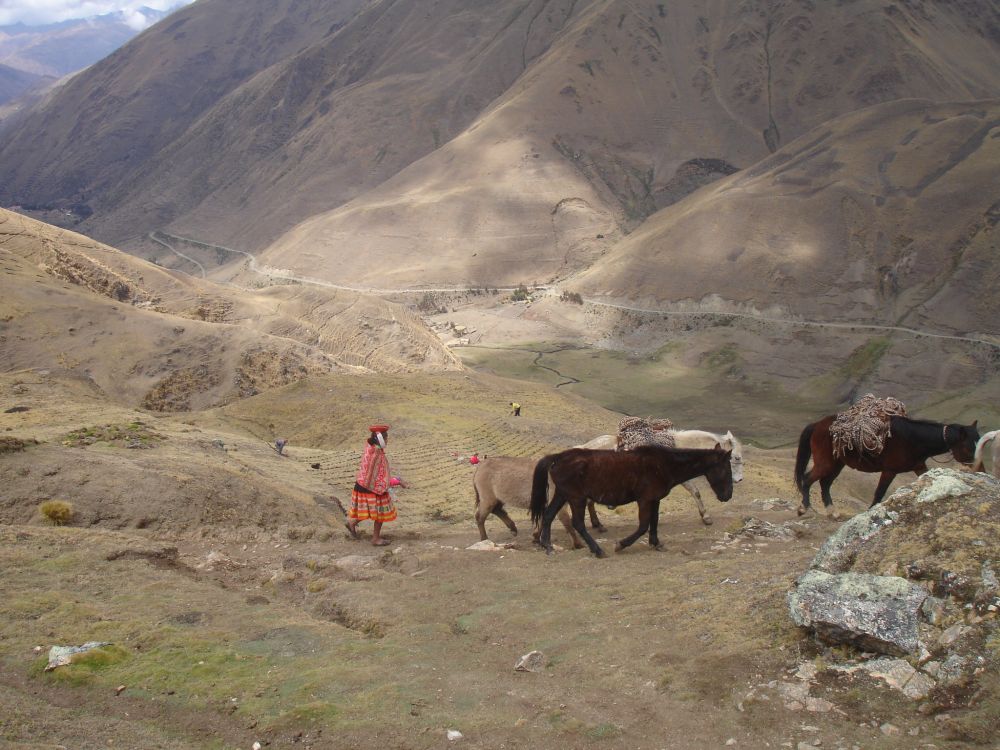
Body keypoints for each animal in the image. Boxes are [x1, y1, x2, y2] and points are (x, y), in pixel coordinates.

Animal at [528, 446, 732, 560]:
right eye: (725, 469)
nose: (728, 495)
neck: (664, 465)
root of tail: (557, 457)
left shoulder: (654, 500)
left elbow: (654, 522)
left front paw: (656, 544)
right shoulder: (645, 500)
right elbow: (643, 526)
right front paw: (621, 545)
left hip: (563, 494)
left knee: (548, 515)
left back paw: (547, 546)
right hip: (576, 498)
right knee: (578, 523)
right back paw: (598, 550)